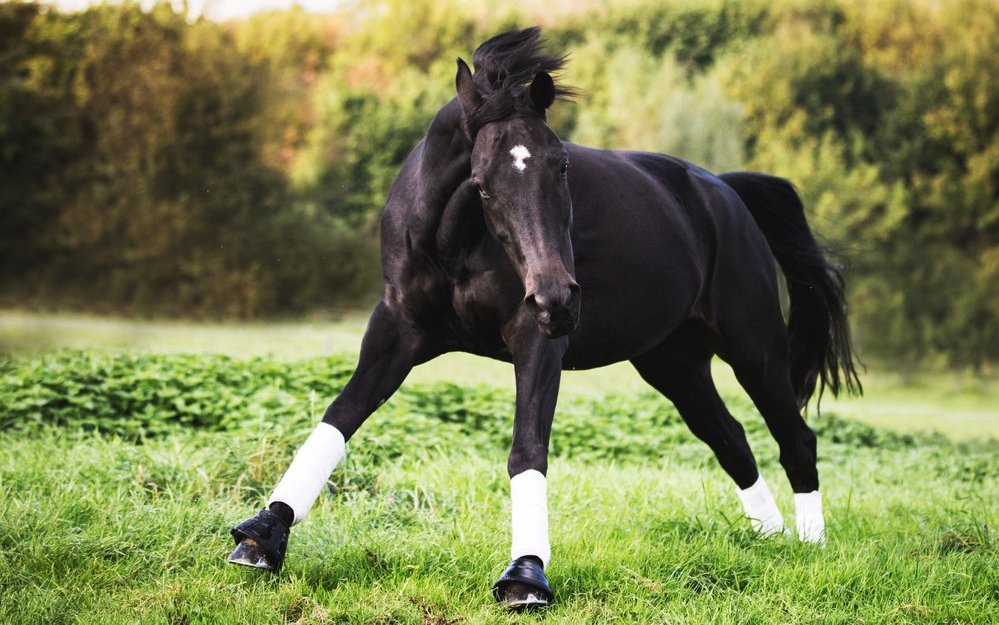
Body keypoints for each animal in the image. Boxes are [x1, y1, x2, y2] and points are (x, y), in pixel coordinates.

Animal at [229, 29, 860, 608]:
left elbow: (527, 449)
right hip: (674, 365)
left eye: (561, 166)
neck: (453, 242)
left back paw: (809, 548)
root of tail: (725, 192)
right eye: (482, 183)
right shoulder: (398, 329)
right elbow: (340, 416)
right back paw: (769, 539)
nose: (558, 298)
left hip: (752, 348)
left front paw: (525, 574)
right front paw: (263, 535)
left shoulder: (535, 341)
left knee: (795, 439)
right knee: (731, 441)